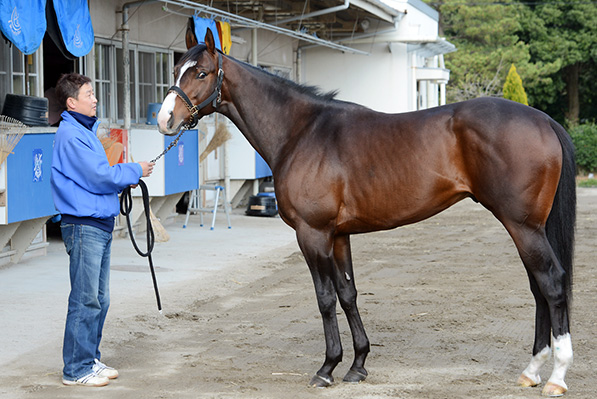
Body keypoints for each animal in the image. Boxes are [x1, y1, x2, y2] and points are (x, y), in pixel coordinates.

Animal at [156, 31, 576, 396]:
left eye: (201, 72)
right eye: (175, 69)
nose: (165, 121)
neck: (302, 133)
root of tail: (543, 119)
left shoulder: (312, 234)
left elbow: (325, 297)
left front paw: (327, 368)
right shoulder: (339, 235)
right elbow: (348, 293)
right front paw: (357, 365)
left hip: (523, 226)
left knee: (552, 284)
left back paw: (556, 377)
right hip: (528, 228)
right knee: (539, 288)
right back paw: (531, 372)